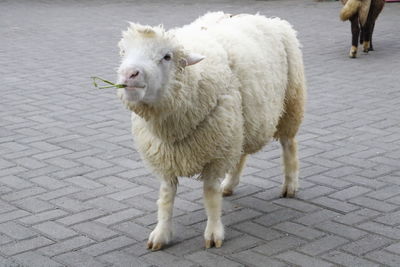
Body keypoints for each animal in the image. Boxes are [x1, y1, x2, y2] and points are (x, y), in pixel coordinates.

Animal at [115, 12, 306, 251]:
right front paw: (161, 233)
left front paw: (214, 233)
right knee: (241, 154)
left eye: (167, 56)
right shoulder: (166, 156)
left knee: (289, 144)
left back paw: (290, 185)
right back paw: (230, 185)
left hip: (290, 102)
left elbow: (210, 193)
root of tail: (267, 18)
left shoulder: (215, 153)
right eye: (124, 52)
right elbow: (166, 195)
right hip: (239, 122)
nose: (128, 74)